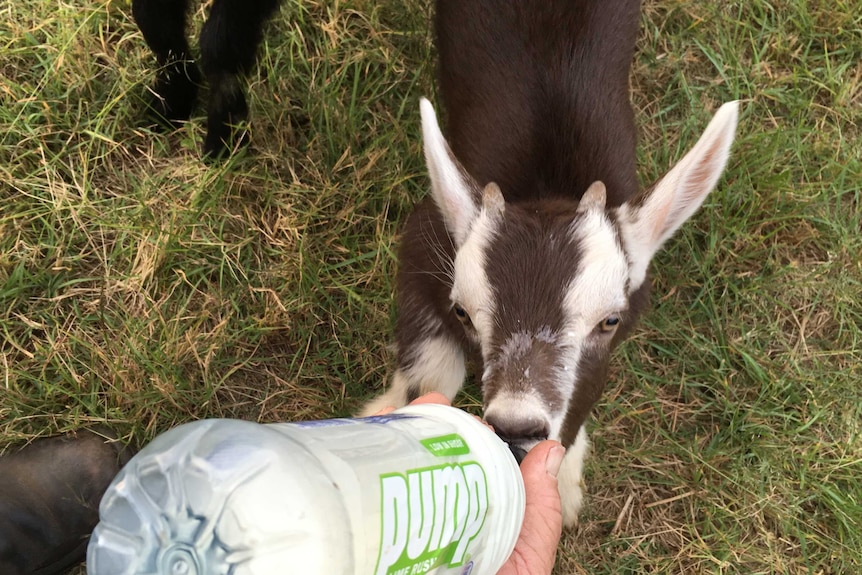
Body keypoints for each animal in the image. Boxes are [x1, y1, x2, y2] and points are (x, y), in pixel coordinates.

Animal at [364, 0, 744, 528]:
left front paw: (562, 484)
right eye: (462, 312)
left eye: (610, 320)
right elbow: (433, 369)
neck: (547, 182)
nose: (515, 428)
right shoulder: (423, 240)